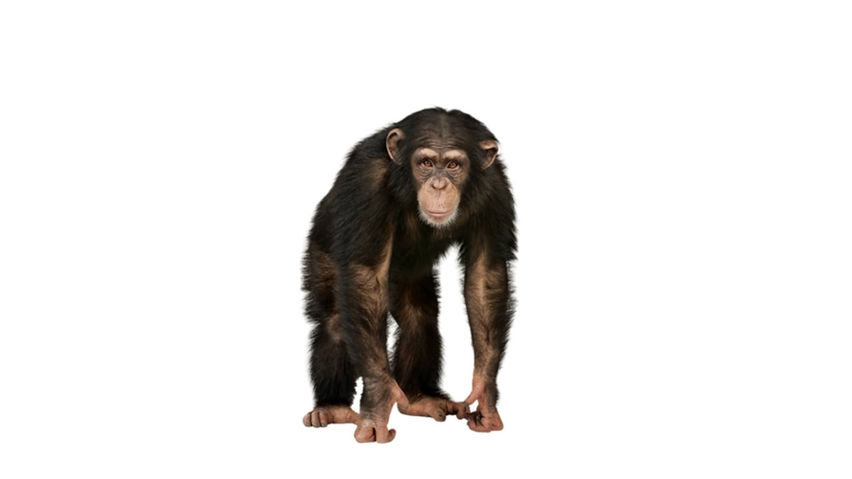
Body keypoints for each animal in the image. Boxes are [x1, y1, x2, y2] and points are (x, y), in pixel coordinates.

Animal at [301, 108, 516, 443]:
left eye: (452, 165)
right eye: (425, 163)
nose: (439, 185)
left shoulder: (496, 189)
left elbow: (485, 275)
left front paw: (486, 393)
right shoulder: (366, 181)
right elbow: (365, 274)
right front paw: (378, 400)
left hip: (407, 278)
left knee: (420, 316)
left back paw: (417, 398)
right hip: (321, 248)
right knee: (335, 319)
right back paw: (333, 408)